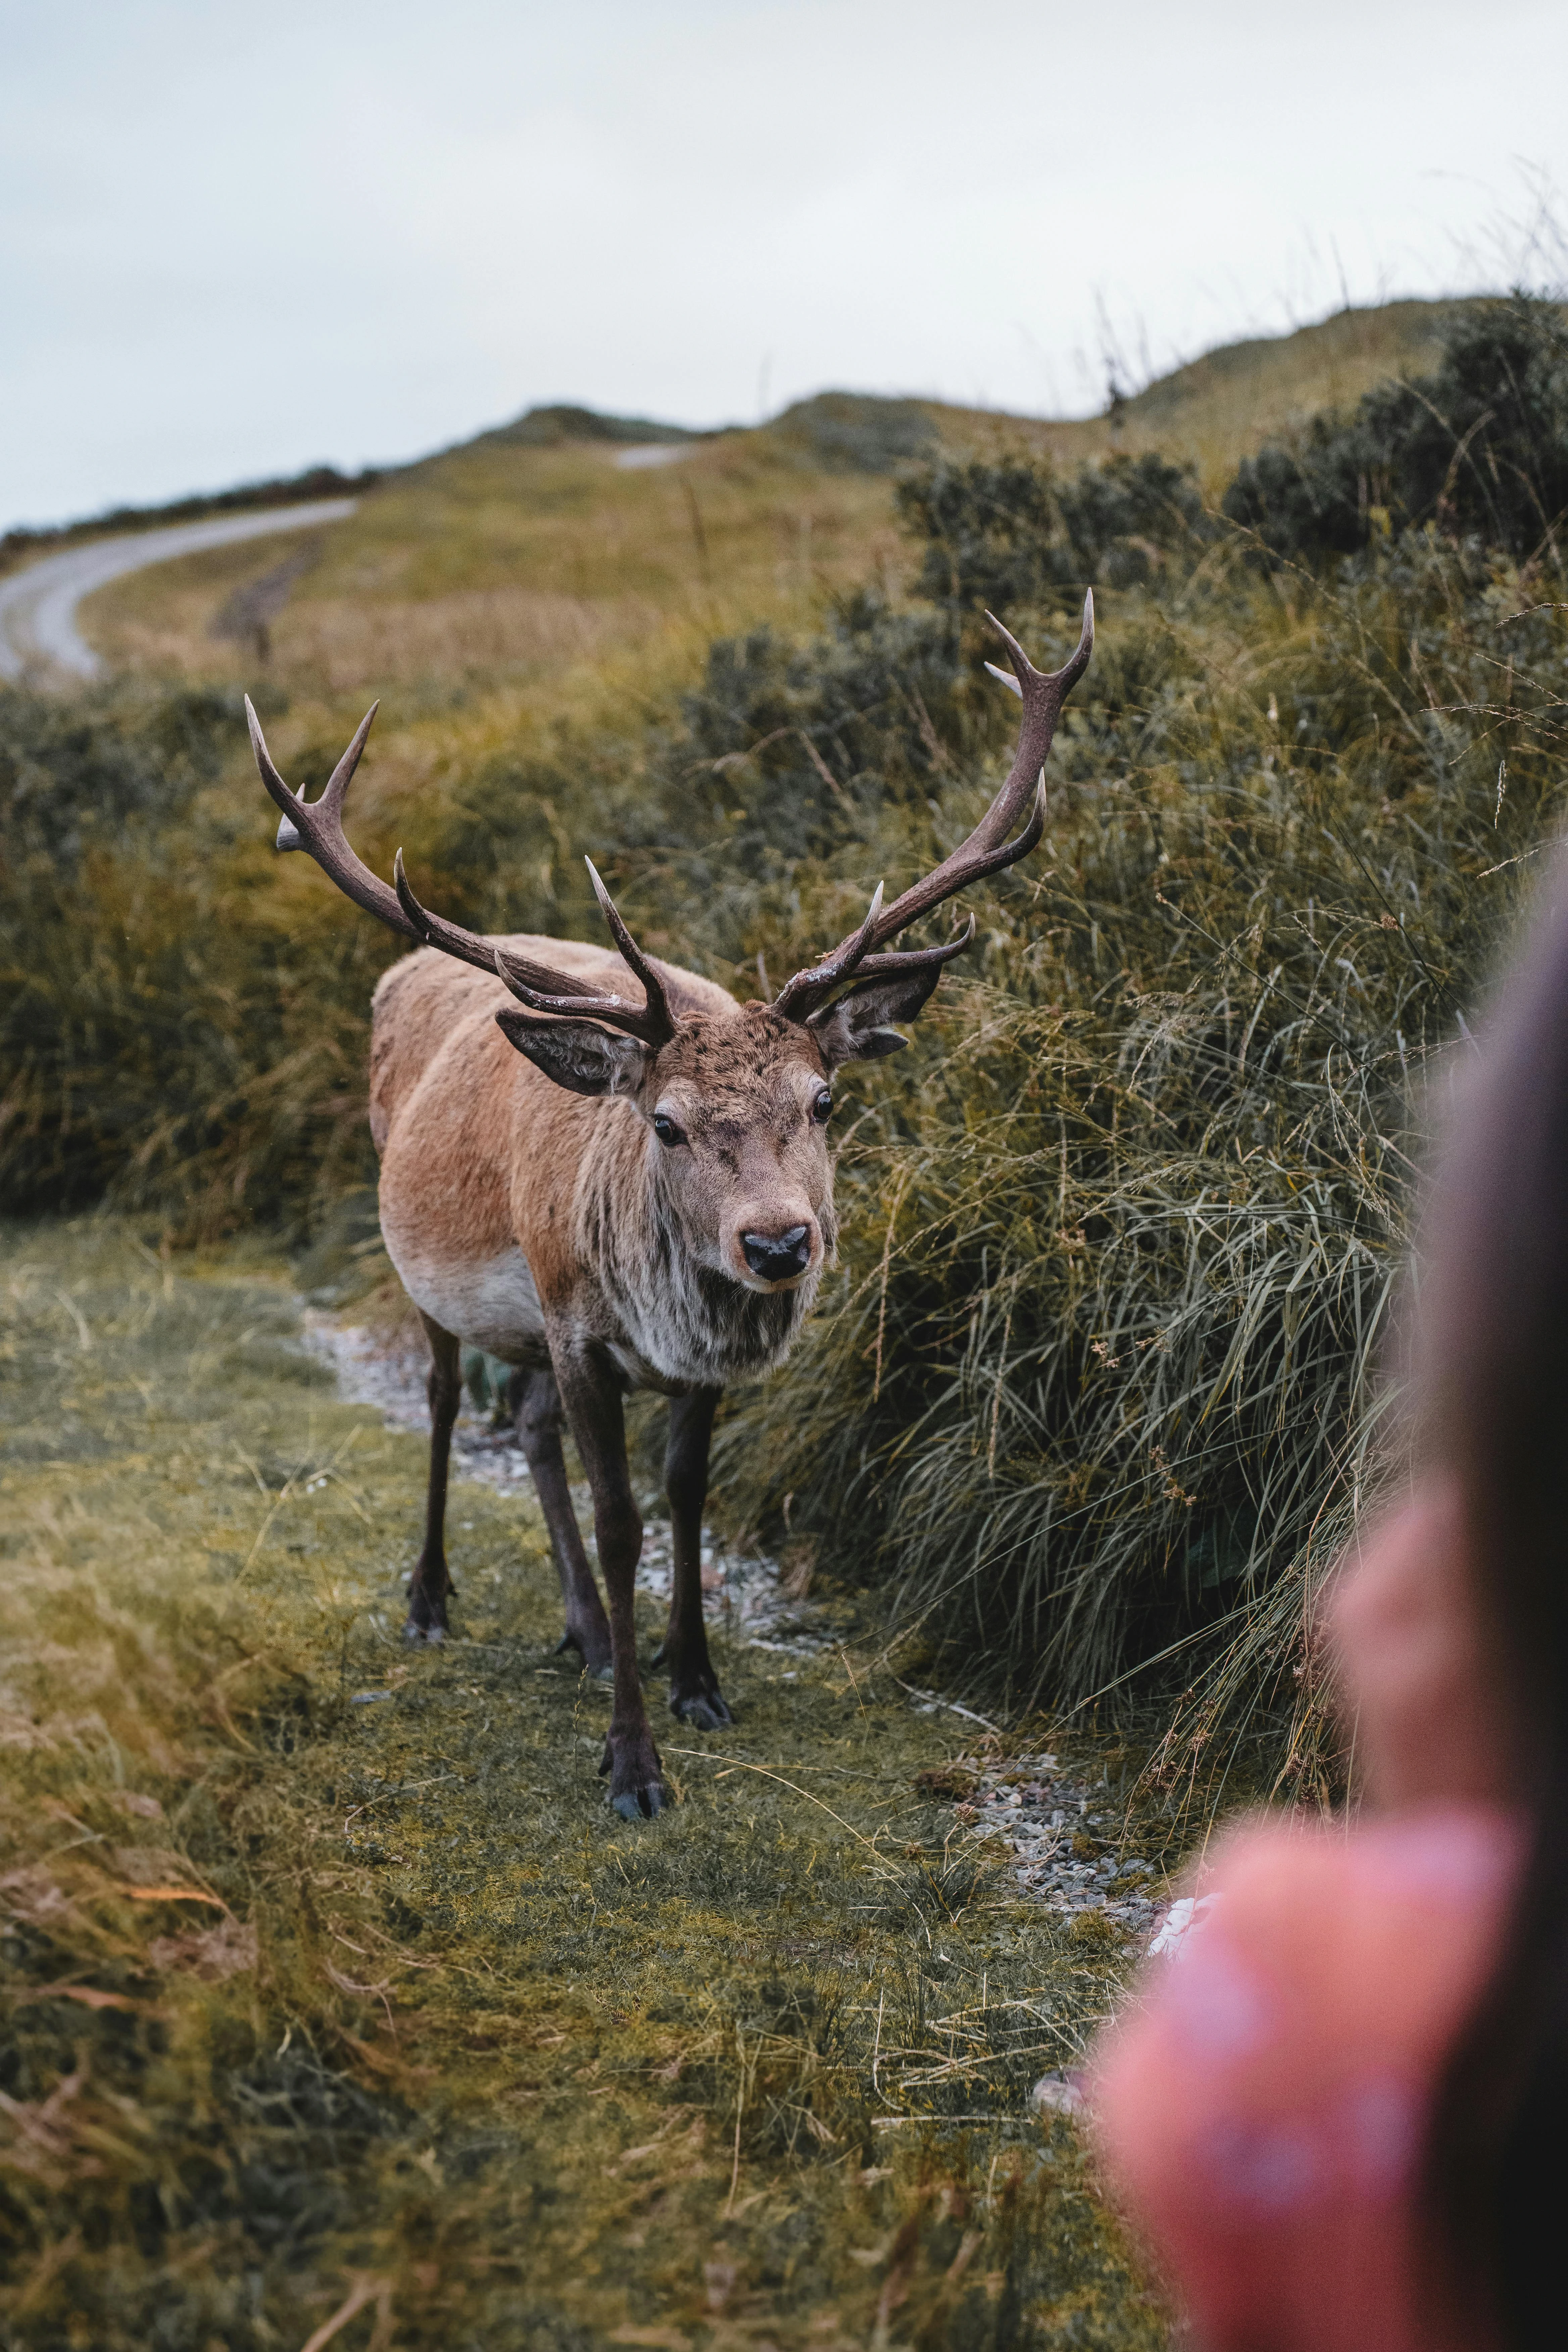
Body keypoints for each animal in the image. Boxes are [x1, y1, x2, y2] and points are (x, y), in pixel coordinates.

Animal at [246, 596, 1092, 1819]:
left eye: (823, 1099)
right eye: (666, 1122)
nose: (778, 1242)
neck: (663, 1314)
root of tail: (397, 971)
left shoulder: (687, 1363)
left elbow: (688, 1497)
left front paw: (694, 1677)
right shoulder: (578, 1325)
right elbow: (621, 1520)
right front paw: (633, 1765)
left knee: (529, 1425)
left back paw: (590, 1635)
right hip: (437, 1270)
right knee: (451, 1400)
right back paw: (431, 1600)